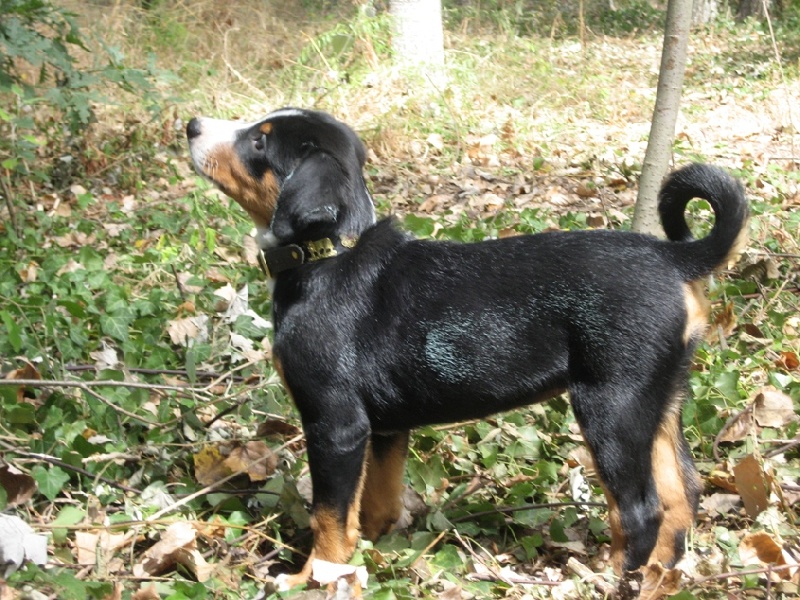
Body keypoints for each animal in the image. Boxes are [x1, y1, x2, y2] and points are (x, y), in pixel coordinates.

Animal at [184, 108, 748, 584]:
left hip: (610, 406)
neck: (329, 256)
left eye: (259, 142)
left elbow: (329, 516)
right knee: (681, 497)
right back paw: (658, 578)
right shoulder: (384, 427)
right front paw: (373, 549)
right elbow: (374, 501)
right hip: (658, 403)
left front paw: (314, 576)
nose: (190, 125)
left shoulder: (335, 424)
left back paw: (610, 579)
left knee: (639, 510)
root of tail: (674, 259)